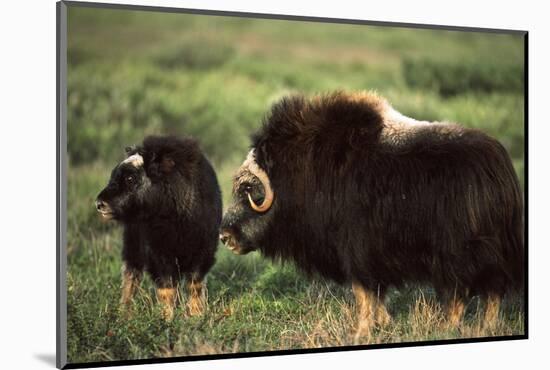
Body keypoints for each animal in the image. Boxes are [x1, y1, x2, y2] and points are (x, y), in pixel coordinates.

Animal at [96, 134, 222, 320]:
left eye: (130, 178)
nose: (99, 203)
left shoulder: (203, 251)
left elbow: (194, 283)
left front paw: (196, 315)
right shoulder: (158, 254)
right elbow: (166, 287)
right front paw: (166, 317)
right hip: (133, 246)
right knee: (131, 275)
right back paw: (125, 313)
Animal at [220, 91, 528, 336]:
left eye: (249, 190)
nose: (224, 236)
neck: (301, 173)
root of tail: (498, 169)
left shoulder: (356, 250)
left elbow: (363, 292)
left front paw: (362, 330)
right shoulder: (369, 256)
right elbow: (376, 293)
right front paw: (383, 323)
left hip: (460, 253)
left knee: (465, 292)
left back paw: (450, 328)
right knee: (489, 291)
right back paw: (482, 327)